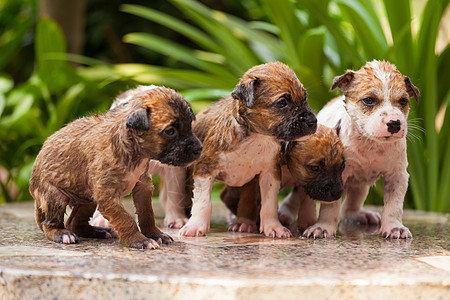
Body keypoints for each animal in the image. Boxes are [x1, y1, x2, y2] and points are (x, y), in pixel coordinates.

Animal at [29, 85, 201, 248]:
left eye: (190, 125)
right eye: (170, 131)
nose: (199, 149)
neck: (133, 150)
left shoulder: (143, 187)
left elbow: (147, 214)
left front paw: (155, 234)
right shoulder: (108, 195)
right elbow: (125, 218)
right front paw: (139, 240)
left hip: (87, 199)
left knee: (75, 222)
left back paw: (99, 231)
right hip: (55, 196)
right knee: (50, 224)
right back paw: (62, 233)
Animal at [178, 62, 318, 238]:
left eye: (305, 97)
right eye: (282, 103)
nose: (313, 121)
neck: (255, 137)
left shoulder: (270, 174)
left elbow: (269, 204)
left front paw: (273, 226)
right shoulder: (205, 170)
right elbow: (203, 202)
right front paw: (196, 226)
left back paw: (243, 222)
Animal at [310, 60, 418, 239]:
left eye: (403, 101)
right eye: (368, 100)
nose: (394, 124)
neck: (370, 144)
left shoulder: (397, 176)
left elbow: (394, 206)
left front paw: (394, 227)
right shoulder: (335, 176)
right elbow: (330, 206)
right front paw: (323, 227)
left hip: (359, 187)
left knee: (349, 207)